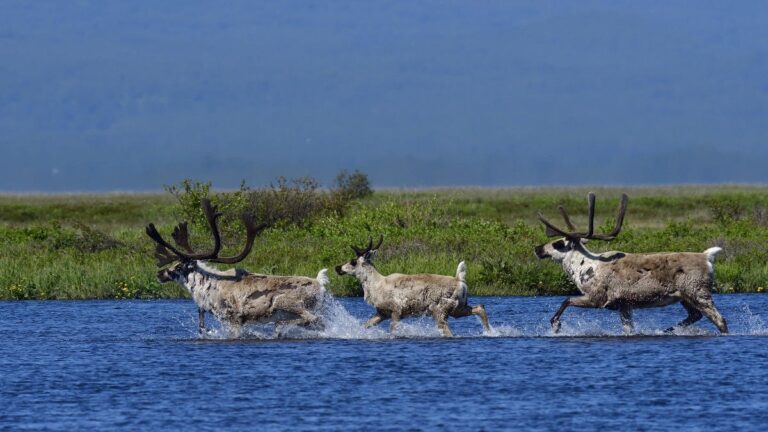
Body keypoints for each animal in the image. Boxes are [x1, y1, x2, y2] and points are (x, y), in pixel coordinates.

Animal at [145, 199, 329, 337]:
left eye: (178, 266)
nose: (159, 274)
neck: (207, 286)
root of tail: (319, 283)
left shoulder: (232, 318)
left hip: (288, 304)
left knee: (311, 318)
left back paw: (279, 327)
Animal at [335, 235, 490, 337]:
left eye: (353, 261)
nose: (337, 268)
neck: (376, 285)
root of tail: (460, 280)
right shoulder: (381, 313)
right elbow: (365, 325)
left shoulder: (396, 311)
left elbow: (392, 331)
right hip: (458, 308)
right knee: (480, 307)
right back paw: (489, 332)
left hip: (441, 310)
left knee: (448, 331)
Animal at [534, 192, 728, 335]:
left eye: (558, 243)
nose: (537, 248)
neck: (583, 267)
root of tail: (706, 257)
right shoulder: (624, 306)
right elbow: (629, 329)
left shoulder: (597, 298)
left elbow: (566, 300)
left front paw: (555, 325)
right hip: (684, 296)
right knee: (695, 315)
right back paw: (666, 330)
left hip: (698, 292)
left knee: (720, 320)